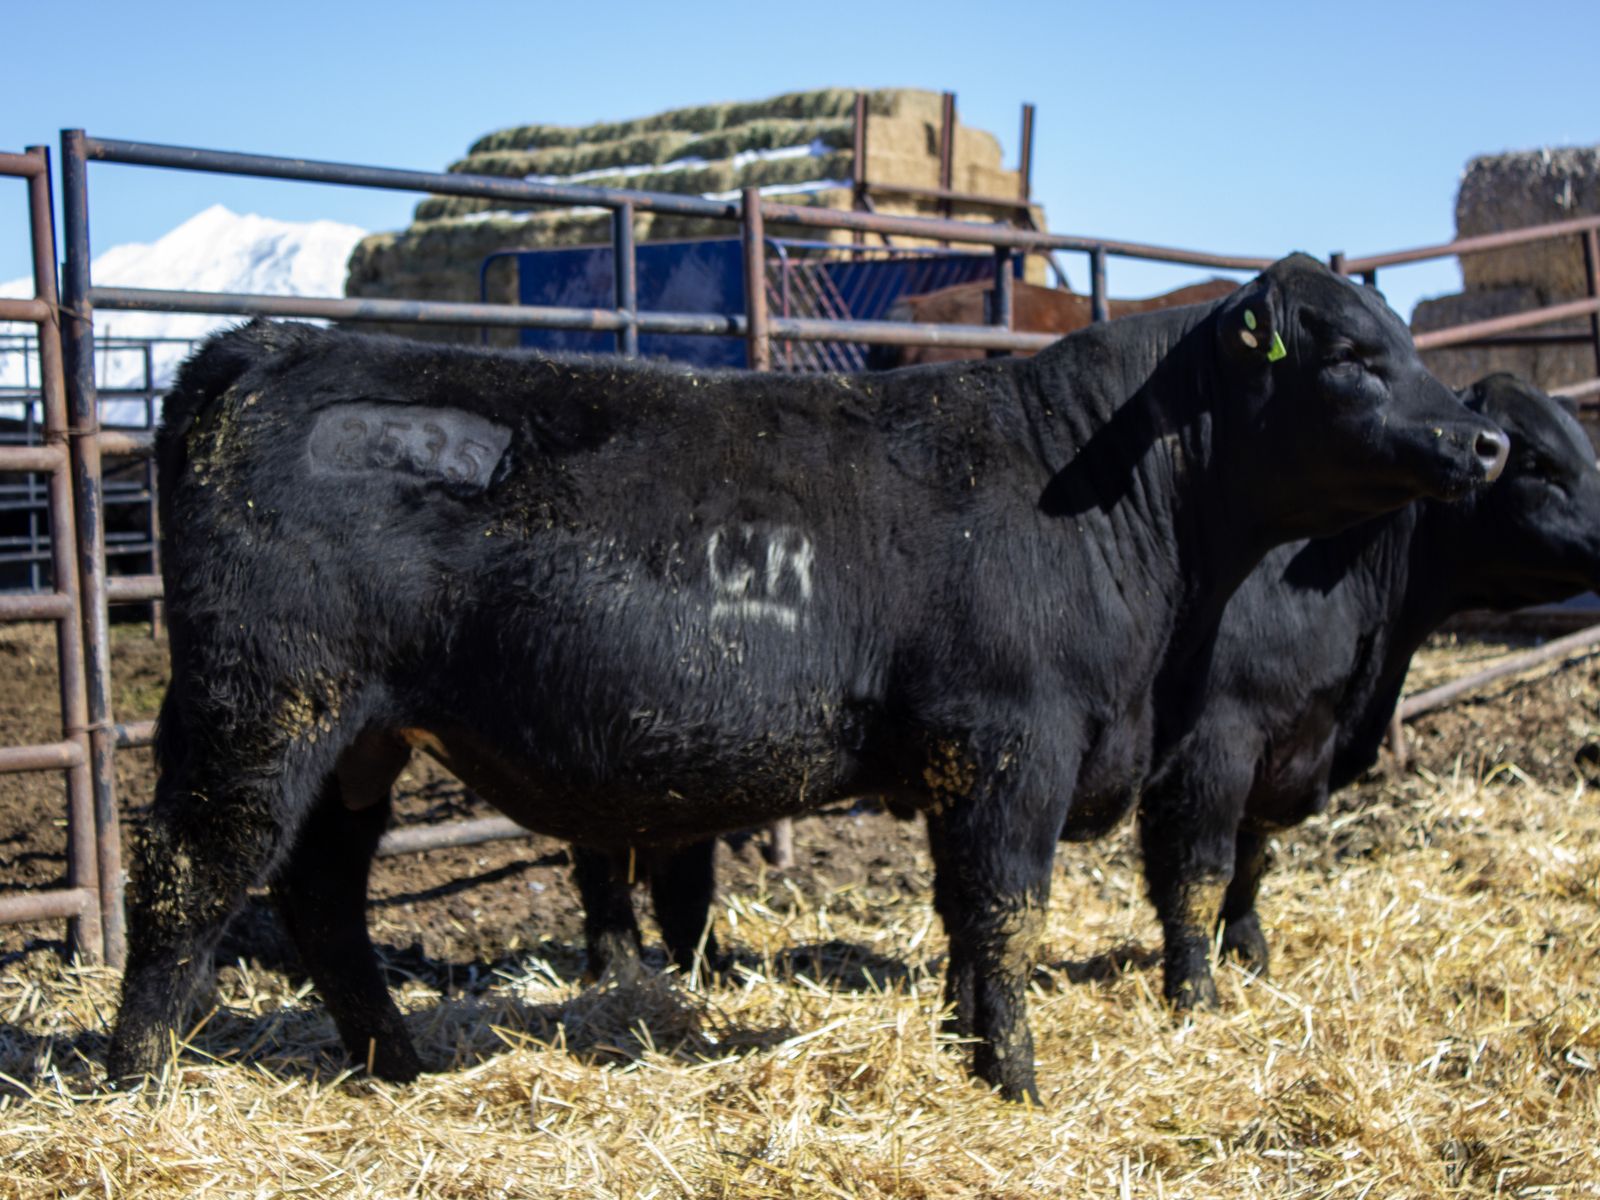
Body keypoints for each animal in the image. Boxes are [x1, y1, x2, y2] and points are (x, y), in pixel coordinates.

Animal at [105, 254, 1507, 1105]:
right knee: (188, 874)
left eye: (1405, 339)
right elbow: (1007, 913)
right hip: (263, 702)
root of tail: (264, 349)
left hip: (360, 738)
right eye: (1347, 354)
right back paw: (135, 1082)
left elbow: (964, 922)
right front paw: (1019, 1081)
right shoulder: (1013, 744)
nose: (1482, 440)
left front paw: (968, 1055)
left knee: (320, 894)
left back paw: (392, 1061)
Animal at [1128, 373, 1600, 1010]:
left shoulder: (1289, 744)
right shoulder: (1214, 744)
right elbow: (1198, 870)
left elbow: (1252, 857)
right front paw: (1195, 989)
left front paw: (1248, 949)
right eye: (1534, 462)